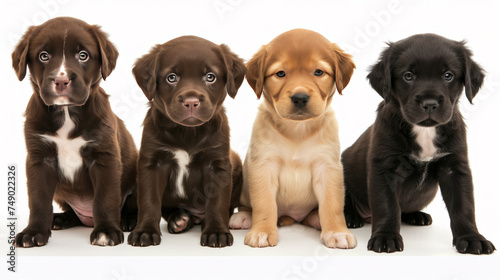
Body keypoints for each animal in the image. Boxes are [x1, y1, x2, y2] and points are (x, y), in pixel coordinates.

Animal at [12, 17, 137, 247]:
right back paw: (60, 219)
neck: (67, 112)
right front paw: (34, 232)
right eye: (44, 56)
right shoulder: (39, 159)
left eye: (83, 55)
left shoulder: (104, 156)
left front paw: (106, 231)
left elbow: (105, 197)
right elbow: (38, 199)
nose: (61, 81)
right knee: (72, 213)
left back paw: (128, 220)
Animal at [129, 35, 246, 247]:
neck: (188, 132)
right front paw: (145, 231)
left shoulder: (217, 164)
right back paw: (179, 219)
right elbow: (149, 200)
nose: (191, 102)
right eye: (171, 77)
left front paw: (217, 232)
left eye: (210, 77)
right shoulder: (151, 163)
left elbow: (217, 201)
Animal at [229, 28, 358, 248]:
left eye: (318, 72)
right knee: (248, 205)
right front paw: (262, 230)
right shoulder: (264, 165)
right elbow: (264, 203)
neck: (297, 129)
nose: (300, 98)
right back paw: (243, 217)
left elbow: (332, 204)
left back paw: (317, 219)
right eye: (280, 73)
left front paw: (337, 231)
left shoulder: (327, 166)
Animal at [344, 32, 496, 254]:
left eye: (448, 75)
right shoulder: (385, 168)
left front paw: (471, 238)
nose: (430, 104)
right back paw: (350, 216)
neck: (425, 132)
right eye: (408, 76)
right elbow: (386, 205)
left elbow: (464, 206)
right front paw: (386, 237)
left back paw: (417, 215)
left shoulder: (455, 167)